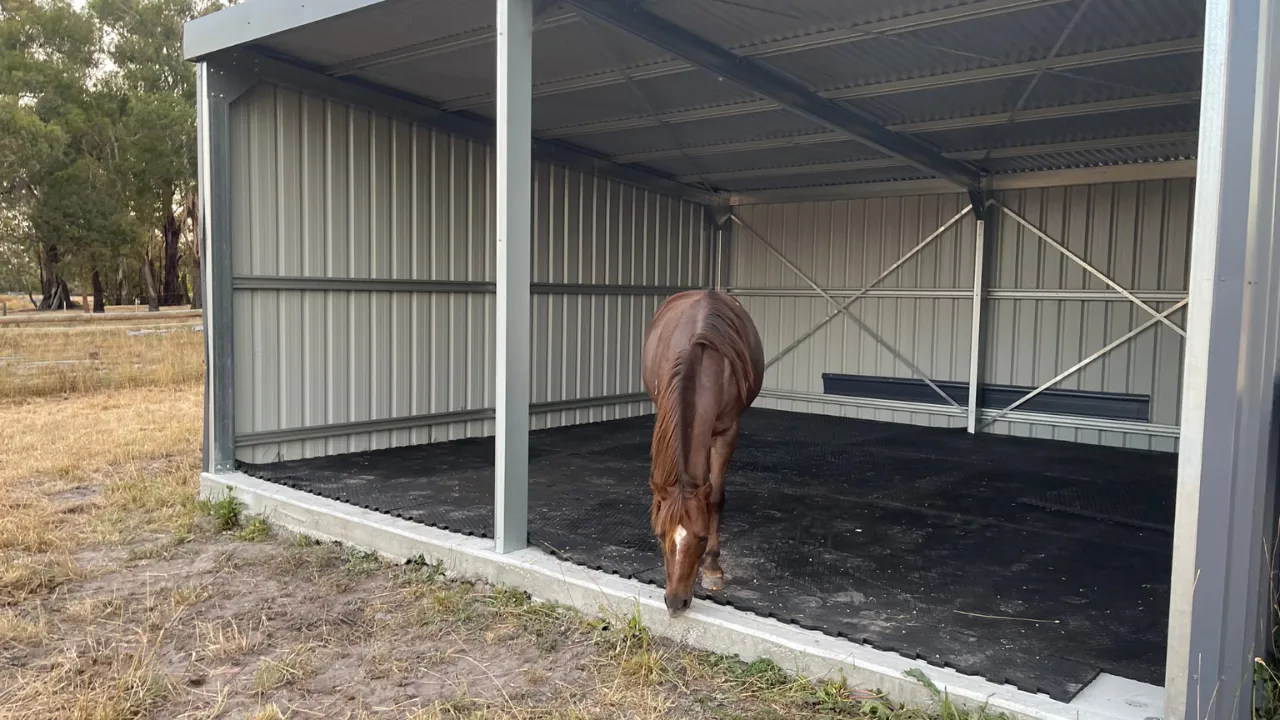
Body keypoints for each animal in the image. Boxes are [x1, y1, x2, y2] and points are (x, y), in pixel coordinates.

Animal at [640, 289, 765, 616]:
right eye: (660, 535)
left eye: (701, 537)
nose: (675, 602)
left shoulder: (726, 432)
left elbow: (716, 498)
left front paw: (712, 568)